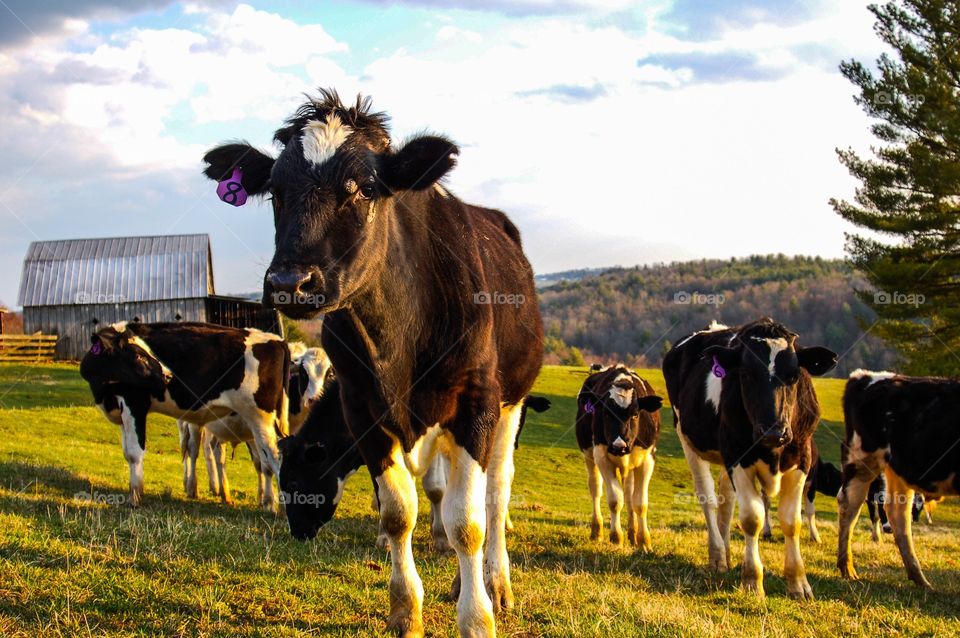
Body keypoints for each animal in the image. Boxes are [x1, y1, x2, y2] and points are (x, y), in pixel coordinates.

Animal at [79, 322, 289, 509]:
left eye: (144, 352)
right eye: (139, 355)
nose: (168, 375)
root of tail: (277, 340)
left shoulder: (135, 403)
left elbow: (134, 453)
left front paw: (135, 498)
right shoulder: (122, 413)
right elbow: (125, 451)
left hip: (259, 417)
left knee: (274, 457)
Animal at [202, 88, 544, 637]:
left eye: (364, 189)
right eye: (274, 190)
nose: (290, 283)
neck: (397, 338)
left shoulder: (476, 403)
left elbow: (467, 521)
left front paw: (477, 618)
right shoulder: (362, 406)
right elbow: (398, 511)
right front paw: (406, 612)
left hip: (511, 402)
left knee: (495, 493)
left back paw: (495, 582)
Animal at [574, 365, 663, 549]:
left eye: (635, 414)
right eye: (606, 414)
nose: (618, 446)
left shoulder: (647, 459)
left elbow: (640, 503)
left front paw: (644, 541)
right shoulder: (602, 457)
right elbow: (615, 500)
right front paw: (616, 537)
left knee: (629, 494)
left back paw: (632, 534)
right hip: (589, 456)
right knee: (595, 489)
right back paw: (597, 531)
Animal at [662, 318, 837, 599]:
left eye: (794, 375)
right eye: (745, 374)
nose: (773, 431)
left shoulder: (802, 458)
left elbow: (792, 521)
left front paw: (798, 583)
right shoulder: (737, 457)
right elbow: (752, 518)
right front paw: (752, 581)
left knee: (725, 502)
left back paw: (727, 554)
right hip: (687, 437)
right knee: (708, 498)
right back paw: (718, 555)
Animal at [837, 369, 960, 588]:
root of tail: (864, 376)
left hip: (897, 470)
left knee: (897, 513)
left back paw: (920, 579)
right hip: (861, 458)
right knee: (849, 506)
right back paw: (847, 568)